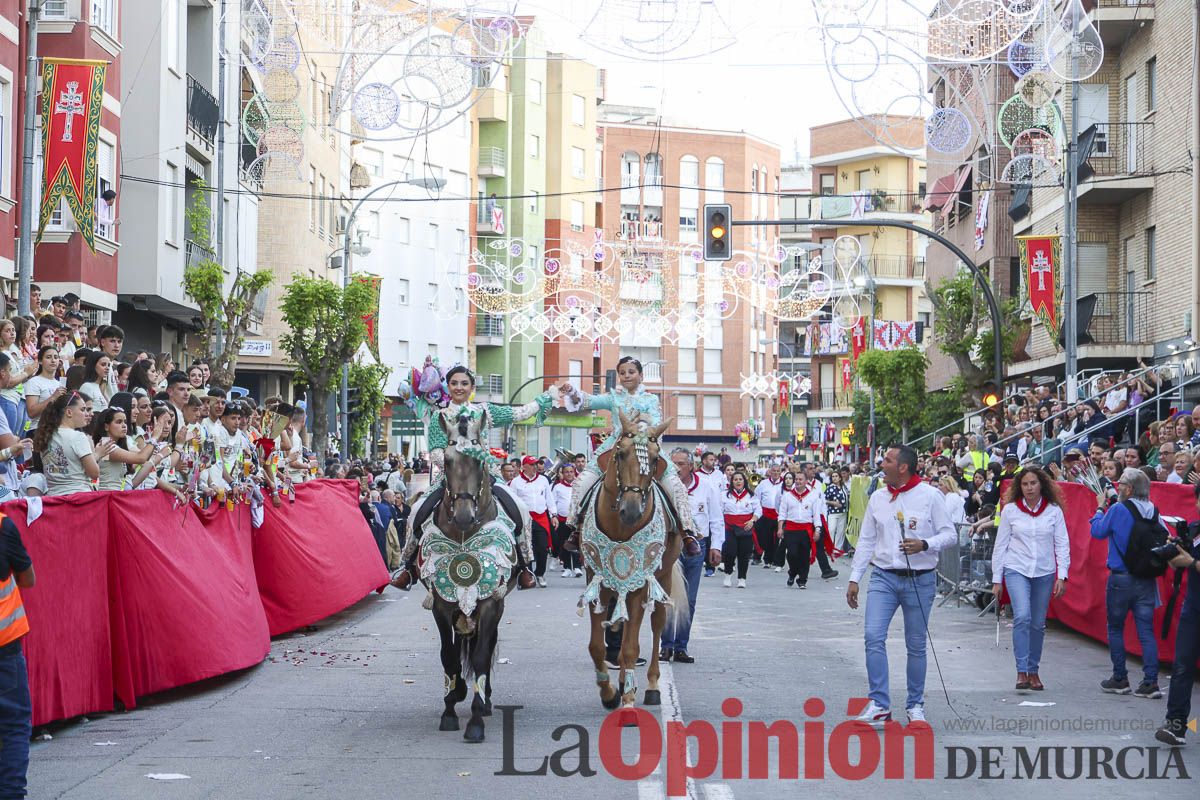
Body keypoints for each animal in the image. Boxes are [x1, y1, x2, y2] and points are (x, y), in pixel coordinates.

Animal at [578, 412, 686, 714]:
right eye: (620, 453)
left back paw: (650, 686)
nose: (632, 510)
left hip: (661, 577)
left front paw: (627, 701)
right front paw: (608, 692)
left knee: (657, 624)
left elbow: (630, 647)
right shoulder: (597, 580)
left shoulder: (639, 583)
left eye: (655, 457)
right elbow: (596, 646)